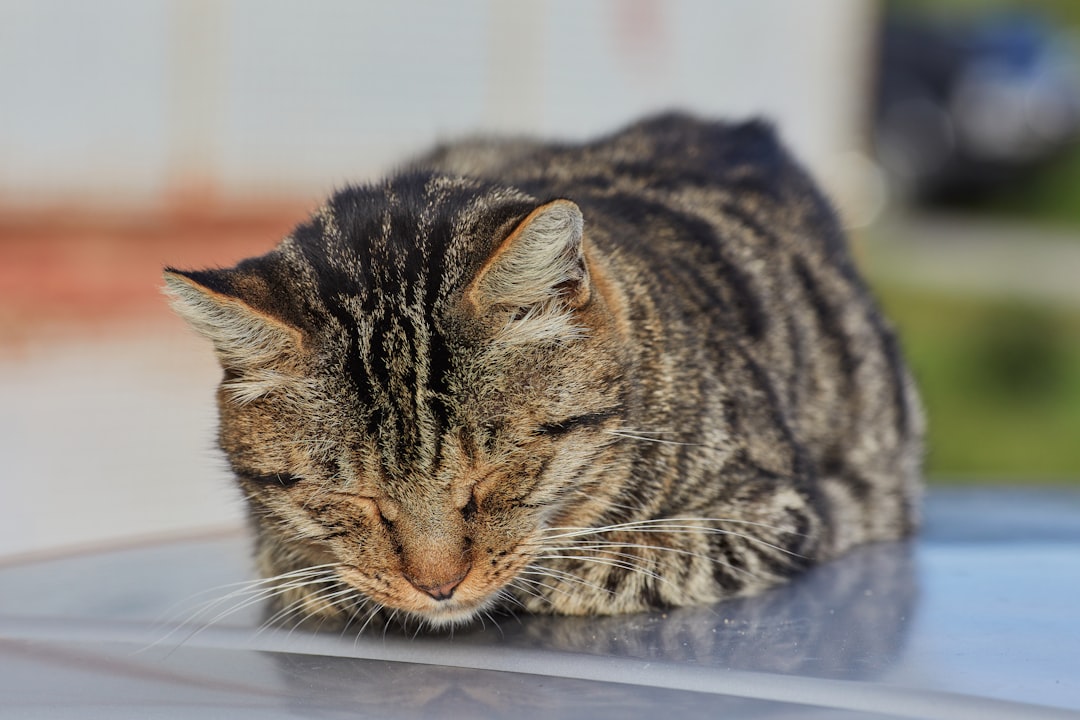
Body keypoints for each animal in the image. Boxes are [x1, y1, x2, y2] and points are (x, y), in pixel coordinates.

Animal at [164, 112, 924, 630]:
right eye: (353, 497)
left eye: (495, 475)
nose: (438, 587)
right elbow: (299, 564)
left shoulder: (779, 508)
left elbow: (609, 563)